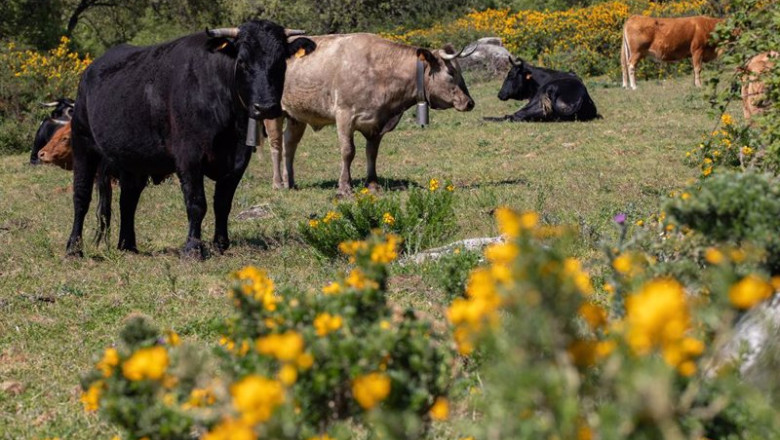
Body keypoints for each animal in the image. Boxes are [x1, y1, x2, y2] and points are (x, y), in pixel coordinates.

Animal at [65, 20, 316, 259]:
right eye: (243, 62)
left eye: (281, 62)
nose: (265, 107)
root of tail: (90, 70)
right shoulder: (189, 157)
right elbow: (196, 203)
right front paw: (193, 248)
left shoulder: (238, 159)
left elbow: (222, 202)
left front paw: (221, 244)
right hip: (83, 144)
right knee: (81, 197)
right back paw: (73, 249)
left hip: (133, 160)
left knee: (128, 199)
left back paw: (128, 245)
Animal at [263, 34, 475, 195]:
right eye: (451, 73)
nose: (469, 103)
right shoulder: (344, 115)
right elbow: (348, 151)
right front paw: (345, 187)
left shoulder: (377, 123)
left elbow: (372, 152)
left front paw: (373, 184)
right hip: (272, 112)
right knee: (276, 146)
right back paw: (278, 183)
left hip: (296, 116)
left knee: (290, 145)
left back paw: (290, 182)